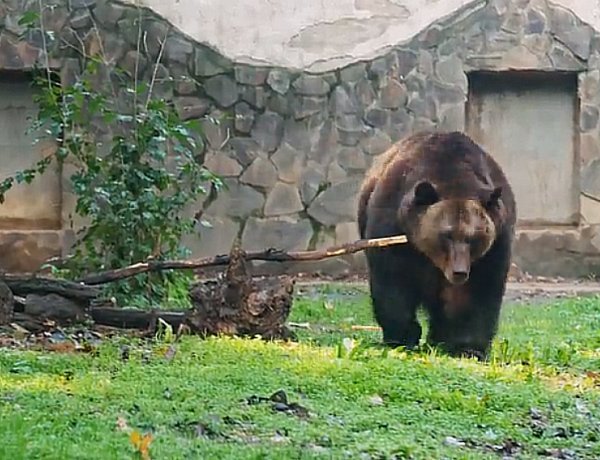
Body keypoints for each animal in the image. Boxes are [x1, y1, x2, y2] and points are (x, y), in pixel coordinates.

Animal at [356, 129, 516, 360]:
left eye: (473, 237)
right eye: (446, 234)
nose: (459, 272)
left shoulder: (495, 244)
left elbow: (480, 292)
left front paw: (468, 346)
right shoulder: (393, 228)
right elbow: (393, 282)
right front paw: (403, 335)